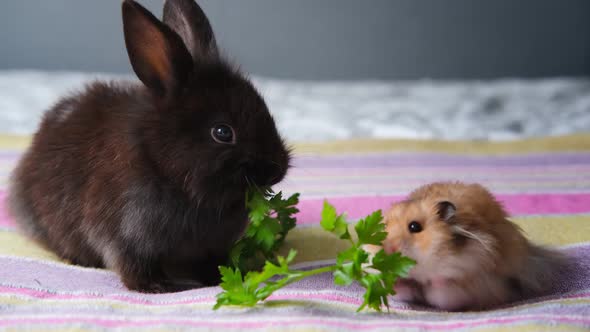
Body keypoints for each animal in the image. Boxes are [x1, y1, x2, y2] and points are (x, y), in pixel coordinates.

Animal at [374, 182, 568, 312]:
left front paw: (437, 280)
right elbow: (401, 290)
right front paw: (396, 280)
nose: (386, 251)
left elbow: (441, 293)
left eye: (414, 227)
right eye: (383, 228)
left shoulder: (475, 286)